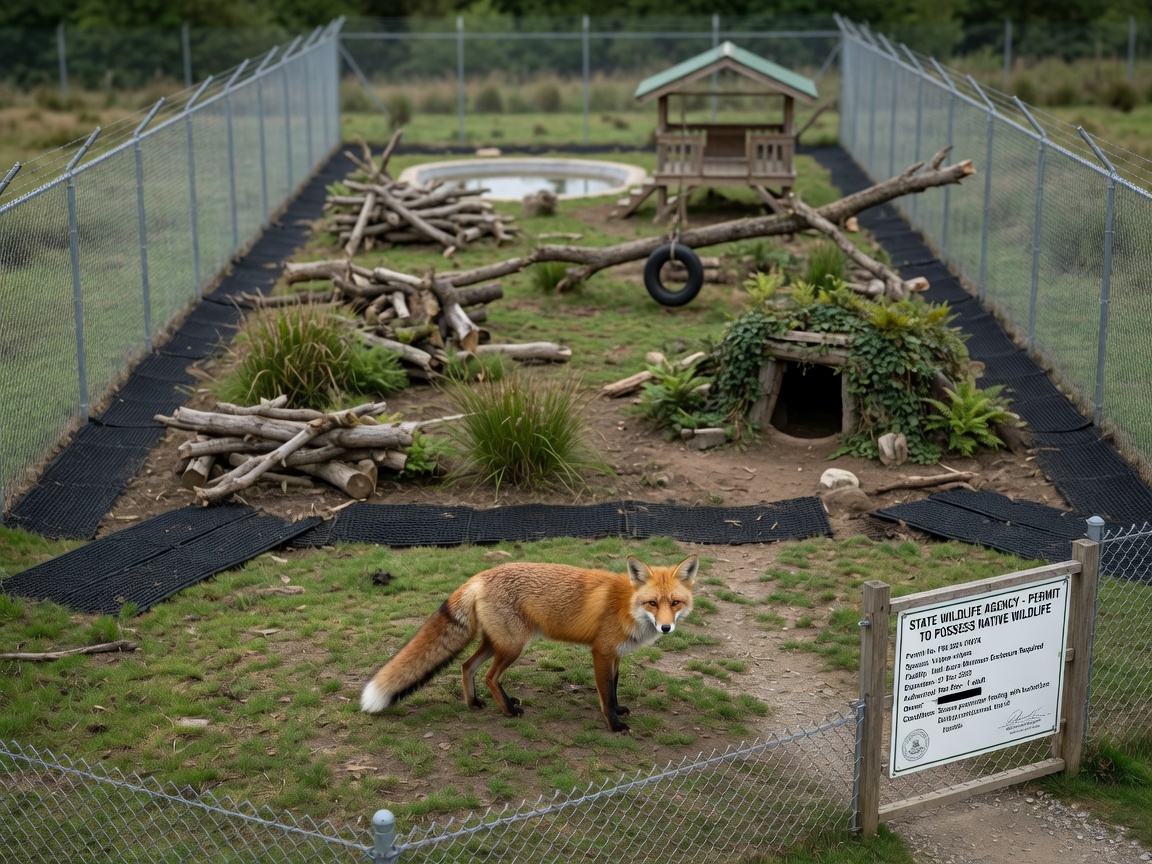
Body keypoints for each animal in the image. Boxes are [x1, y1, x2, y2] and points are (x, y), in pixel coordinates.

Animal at [360, 554, 698, 732]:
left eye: (675, 603)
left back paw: (476, 703)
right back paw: (509, 711)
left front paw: (619, 710)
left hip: (495, 643)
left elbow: (613, 689)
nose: (666, 627)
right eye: (652, 603)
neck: (627, 605)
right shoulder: (601, 652)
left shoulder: (616, 655)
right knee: (489, 675)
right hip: (513, 646)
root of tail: (480, 575)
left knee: (467, 666)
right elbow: (604, 695)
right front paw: (614, 725)